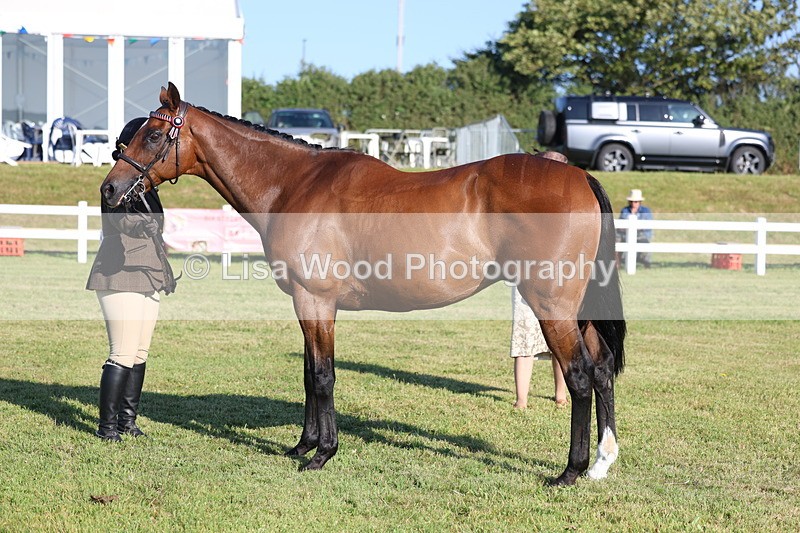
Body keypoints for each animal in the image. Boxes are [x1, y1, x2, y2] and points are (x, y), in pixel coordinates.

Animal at [100, 83, 626, 486]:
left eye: (152, 134)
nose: (110, 189)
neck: (293, 184)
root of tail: (579, 175)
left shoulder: (316, 300)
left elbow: (322, 375)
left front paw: (321, 454)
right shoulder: (306, 304)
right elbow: (308, 373)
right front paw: (302, 445)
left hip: (551, 305)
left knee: (580, 375)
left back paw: (570, 471)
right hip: (576, 308)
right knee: (602, 369)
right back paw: (601, 463)